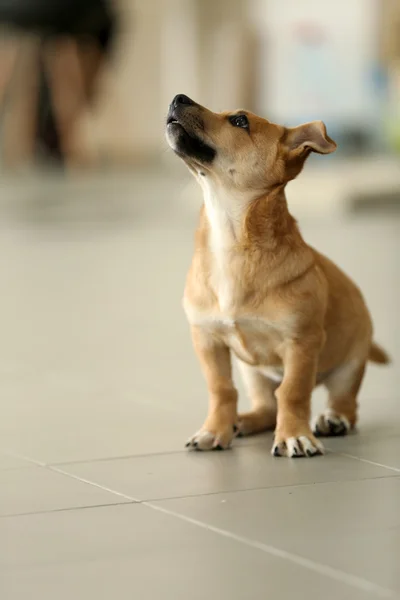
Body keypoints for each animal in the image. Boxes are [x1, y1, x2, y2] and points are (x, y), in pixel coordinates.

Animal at [164, 95, 390, 460]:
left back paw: (333, 420)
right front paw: (215, 430)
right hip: (253, 373)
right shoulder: (207, 340)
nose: (177, 98)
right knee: (267, 409)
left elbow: (293, 392)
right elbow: (221, 389)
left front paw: (294, 436)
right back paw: (242, 421)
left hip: (349, 368)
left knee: (345, 405)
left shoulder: (301, 343)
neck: (232, 244)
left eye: (240, 121)